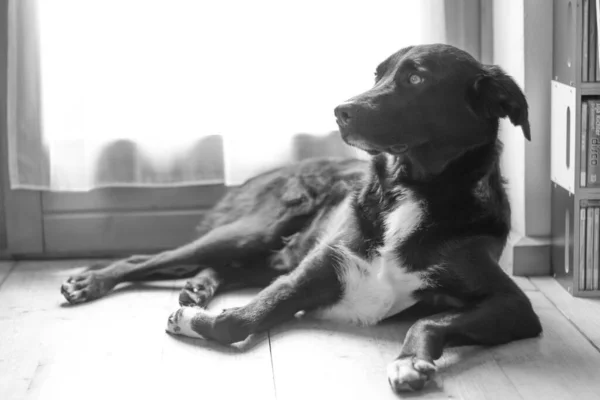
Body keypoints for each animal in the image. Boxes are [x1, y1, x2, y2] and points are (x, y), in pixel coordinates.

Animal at [61, 44, 544, 394]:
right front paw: (193, 322)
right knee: (146, 258)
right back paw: (91, 282)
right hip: (254, 231)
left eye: (416, 77)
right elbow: (243, 318)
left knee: (230, 267)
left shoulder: (513, 305)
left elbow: (430, 319)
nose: (339, 110)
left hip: (273, 251)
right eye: (377, 74)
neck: (412, 189)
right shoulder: (314, 271)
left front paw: (408, 361)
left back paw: (199, 287)